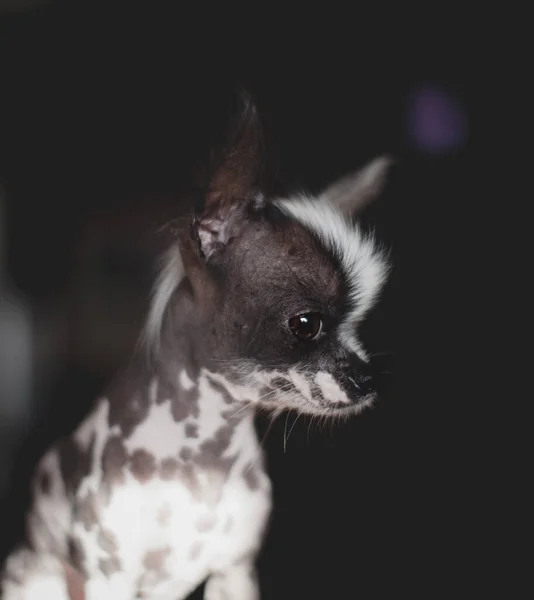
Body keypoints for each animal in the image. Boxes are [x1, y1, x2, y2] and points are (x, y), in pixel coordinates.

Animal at [0, 90, 394, 600]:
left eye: (359, 324)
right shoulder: (107, 579)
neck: (201, 455)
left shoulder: (235, 572)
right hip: (34, 576)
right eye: (305, 324)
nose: (369, 378)